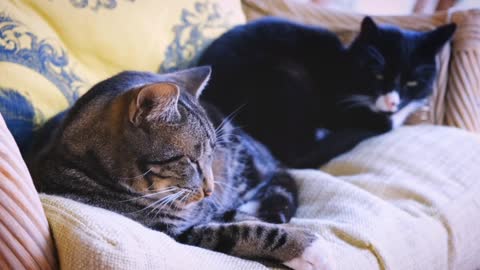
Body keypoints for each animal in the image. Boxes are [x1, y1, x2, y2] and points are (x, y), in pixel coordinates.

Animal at [25, 67, 326, 268]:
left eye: (212, 154)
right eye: (191, 160)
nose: (210, 190)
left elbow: (247, 220)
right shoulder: (177, 233)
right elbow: (247, 231)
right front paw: (310, 248)